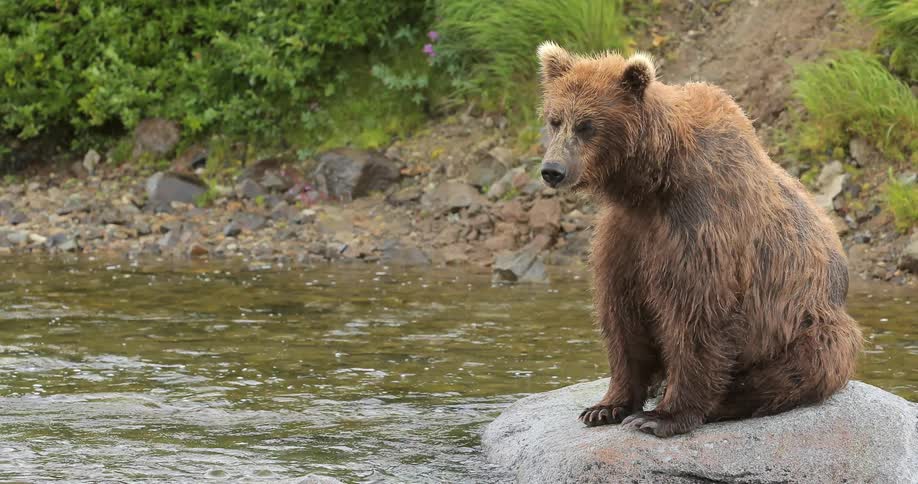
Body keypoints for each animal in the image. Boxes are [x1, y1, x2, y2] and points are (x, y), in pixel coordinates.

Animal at [536, 41, 862, 438]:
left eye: (587, 125)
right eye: (554, 120)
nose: (552, 170)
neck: (651, 183)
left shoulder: (701, 227)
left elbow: (695, 316)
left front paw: (659, 416)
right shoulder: (626, 235)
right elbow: (621, 313)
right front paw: (606, 406)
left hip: (808, 322)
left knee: (808, 362)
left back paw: (729, 402)